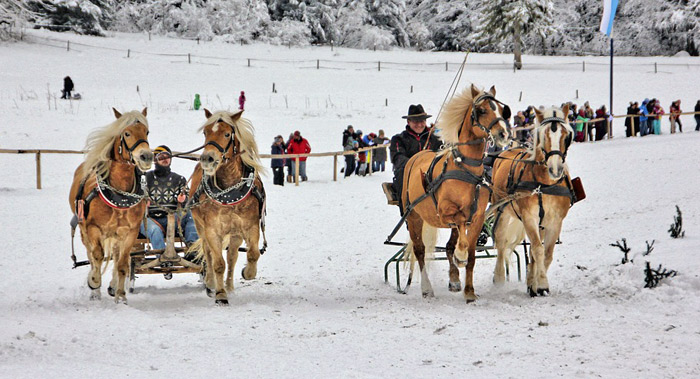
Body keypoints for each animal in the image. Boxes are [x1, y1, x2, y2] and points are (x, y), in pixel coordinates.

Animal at [68, 108, 153, 304]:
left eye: (146, 132)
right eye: (127, 133)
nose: (146, 156)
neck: (119, 194)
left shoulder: (130, 232)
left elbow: (122, 263)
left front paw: (121, 295)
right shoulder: (93, 228)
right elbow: (97, 256)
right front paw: (94, 281)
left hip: (116, 234)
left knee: (115, 255)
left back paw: (113, 286)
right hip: (84, 229)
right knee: (92, 255)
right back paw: (95, 291)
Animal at [187, 109, 266, 306]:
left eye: (227, 134)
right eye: (206, 132)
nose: (207, 158)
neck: (230, 190)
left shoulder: (251, 226)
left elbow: (253, 254)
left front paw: (248, 273)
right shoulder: (212, 230)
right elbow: (218, 263)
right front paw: (220, 293)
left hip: (235, 233)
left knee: (232, 256)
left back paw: (229, 286)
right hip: (201, 228)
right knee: (208, 253)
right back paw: (211, 283)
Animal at [402, 85, 512, 302]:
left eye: (501, 110)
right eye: (482, 110)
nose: (503, 134)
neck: (466, 169)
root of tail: (417, 155)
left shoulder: (477, 218)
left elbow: (471, 255)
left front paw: (469, 291)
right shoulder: (446, 212)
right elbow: (460, 226)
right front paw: (461, 256)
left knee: (448, 246)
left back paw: (454, 279)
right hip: (413, 216)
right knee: (420, 251)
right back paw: (427, 288)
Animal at [490, 106, 576, 296]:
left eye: (566, 135)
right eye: (543, 135)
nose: (555, 169)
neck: (544, 184)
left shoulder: (555, 221)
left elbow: (547, 253)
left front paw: (535, 284)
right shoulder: (529, 217)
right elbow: (538, 249)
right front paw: (542, 284)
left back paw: (530, 280)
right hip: (502, 211)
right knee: (501, 242)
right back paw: (498, 278)